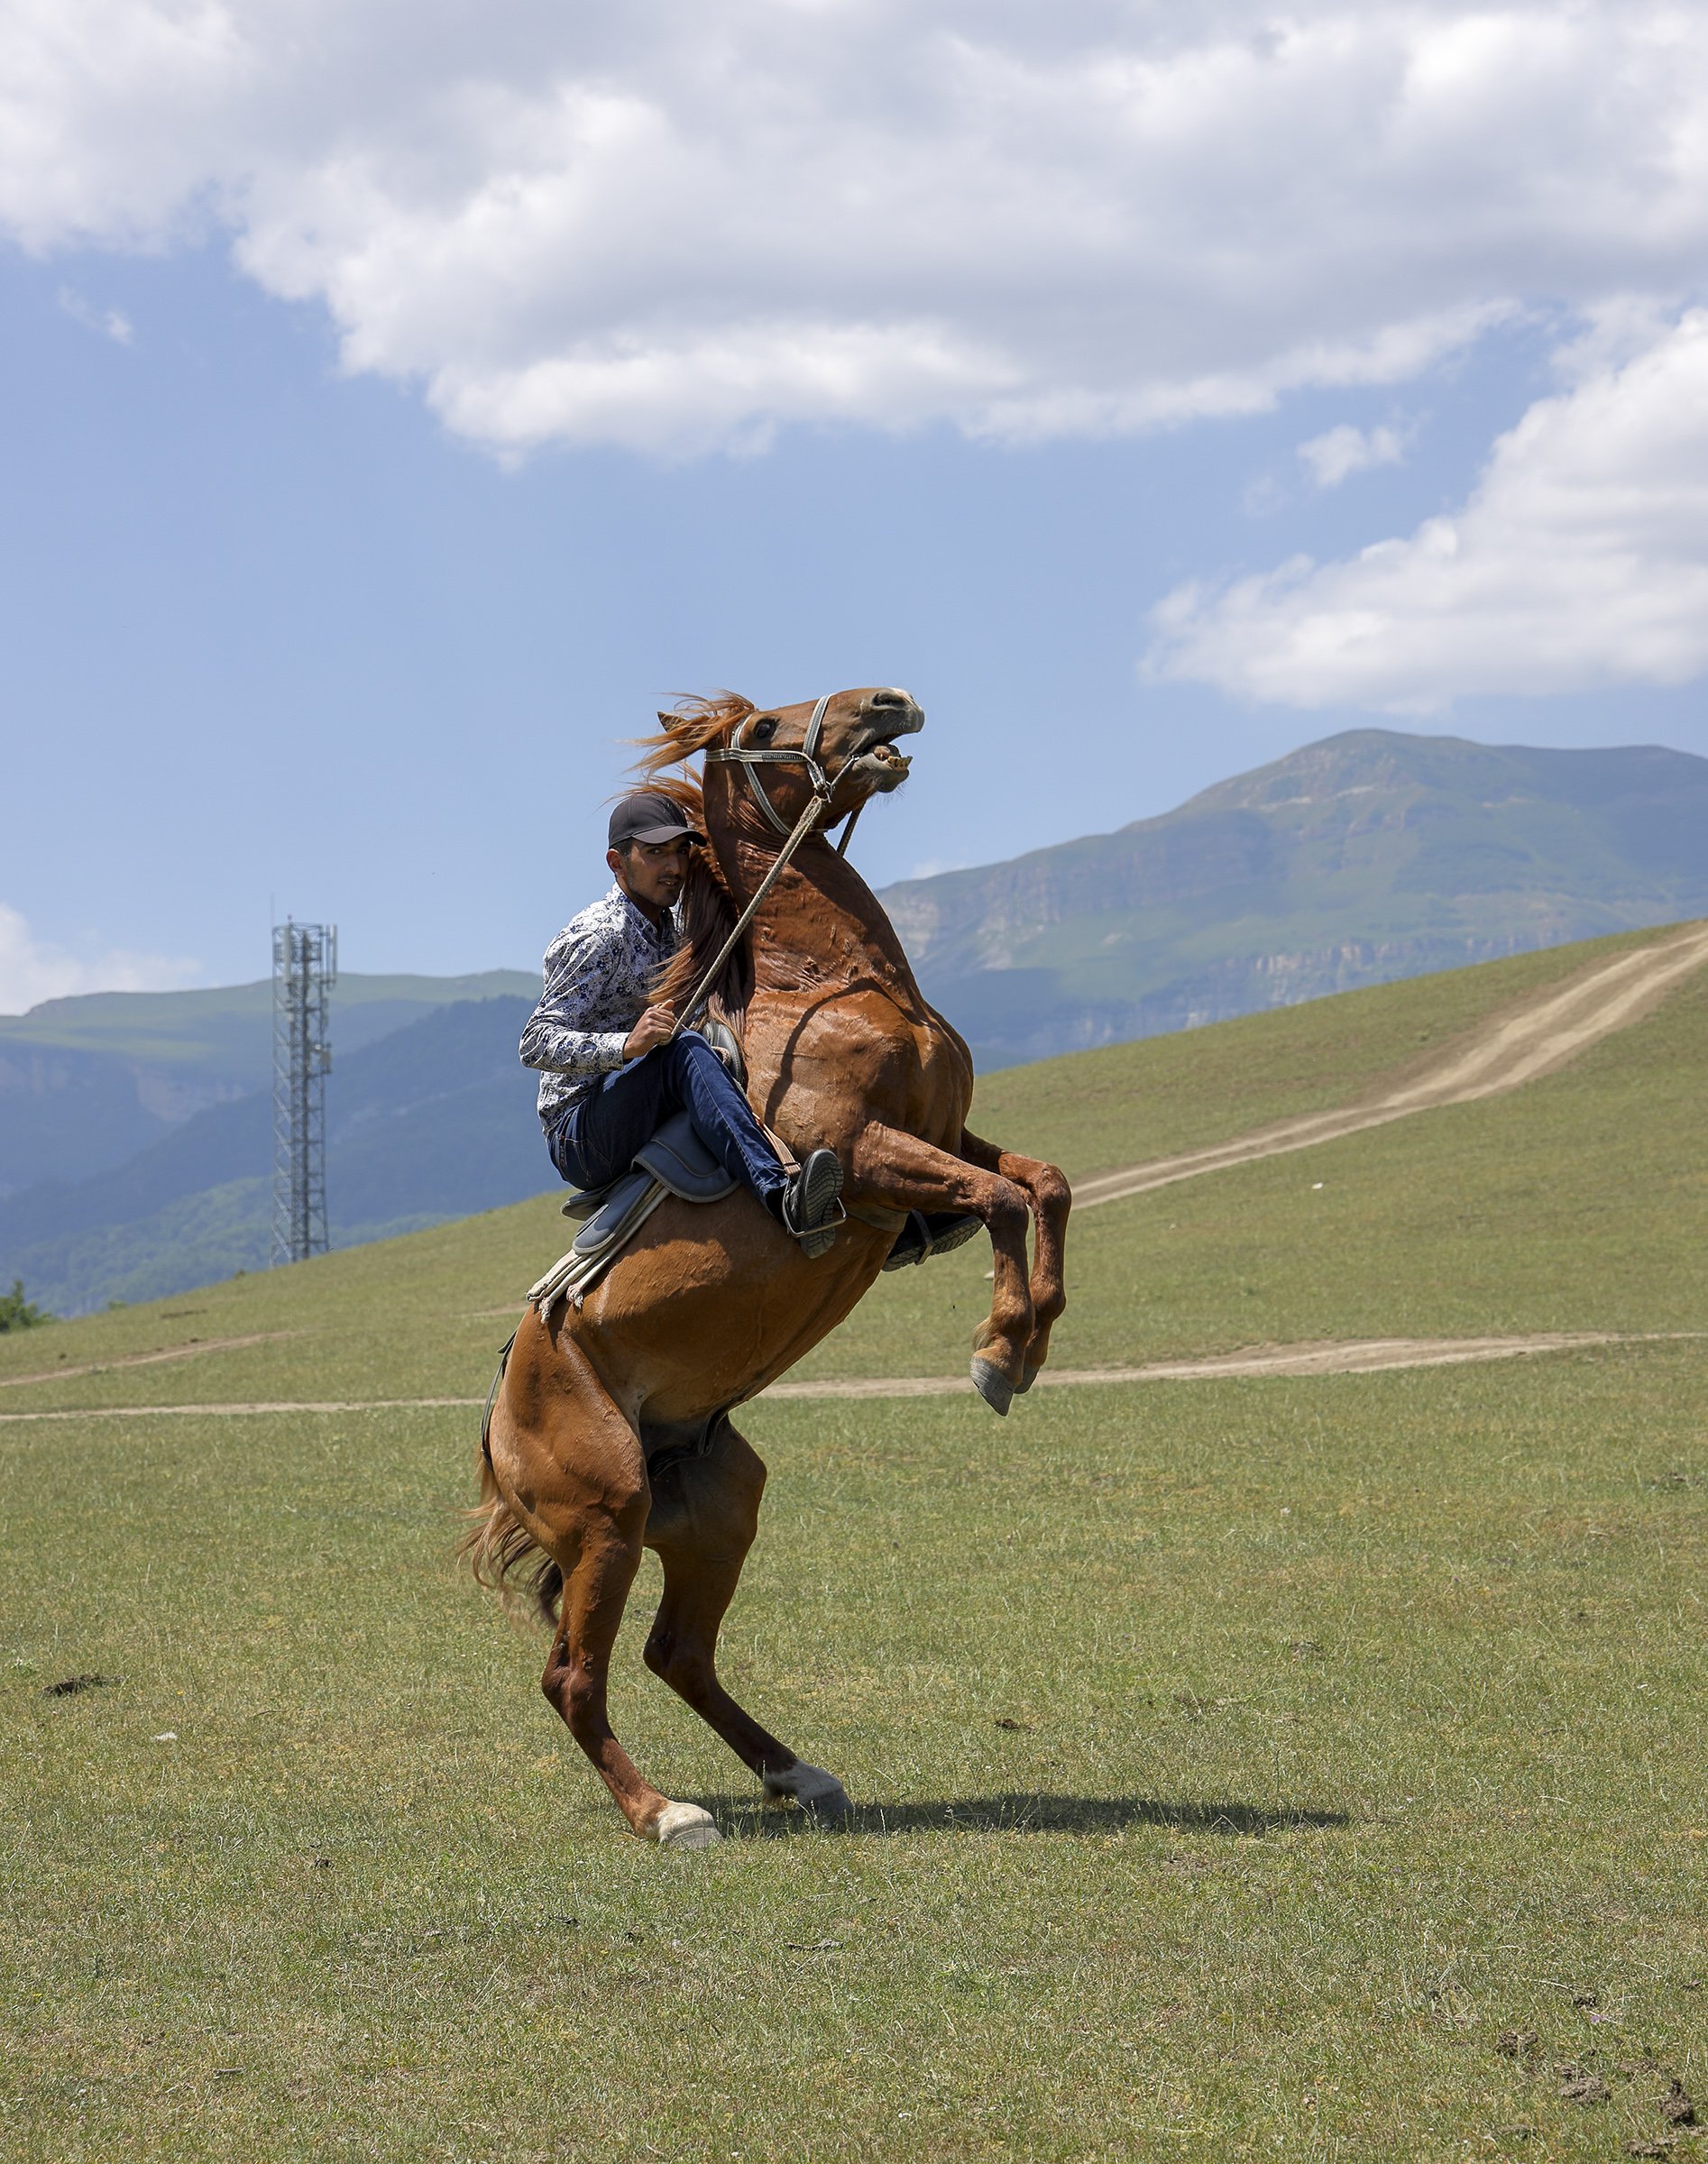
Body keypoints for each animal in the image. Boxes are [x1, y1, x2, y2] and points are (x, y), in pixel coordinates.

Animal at [465, 688, 1065, 1843]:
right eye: (766, 730)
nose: (887, 704)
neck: (832, 985)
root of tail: (498, 1424)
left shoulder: (945, 1136)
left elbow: (1038, 1185)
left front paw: (1022, 1344)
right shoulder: (868, 1154)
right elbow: (1006, 1199)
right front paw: (998, 1353)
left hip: (714, 1509)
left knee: (675, 1654)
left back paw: (801, 1774)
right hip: (603, 1519)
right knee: (575, 1676)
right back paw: (665, 1814)